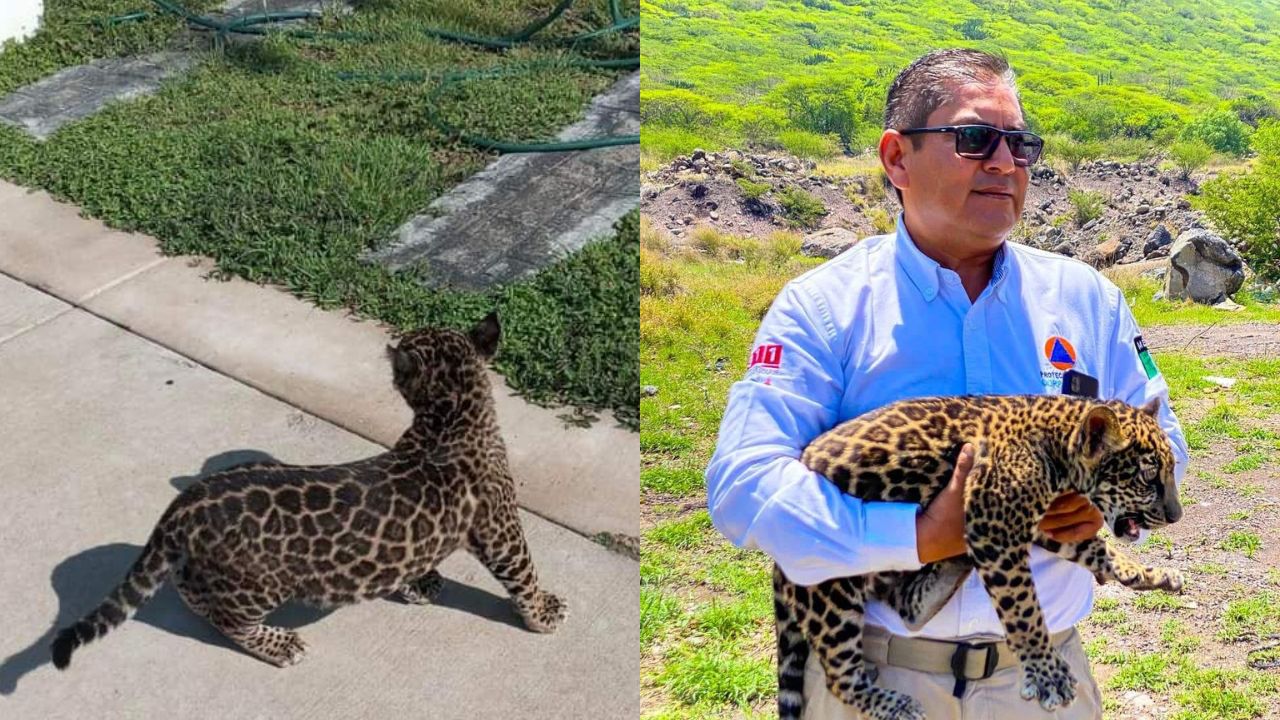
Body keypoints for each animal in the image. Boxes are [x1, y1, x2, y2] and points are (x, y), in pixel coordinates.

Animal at [51, 312, 566, 670]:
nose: (390, 355)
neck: (451, 417)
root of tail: (185, 504)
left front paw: (419, 583)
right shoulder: (501, 528)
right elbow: (523, 571)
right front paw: (543, 612)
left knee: (189, 588)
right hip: (262, 584)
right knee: (227, 618)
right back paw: (281, 644)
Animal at [774, 394, 1184, 720]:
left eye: (1171, 470)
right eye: (1148, 478)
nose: (1175, 516)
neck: (1058, 442)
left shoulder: (1037, 523)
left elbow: (1094, 547)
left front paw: (1146, 573)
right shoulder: (995, 526)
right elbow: (1023, 607)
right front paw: (1047, 672)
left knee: (908, 608)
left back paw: (954, 567)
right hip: (830, 591)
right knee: (839, 677)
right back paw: (895, 705)